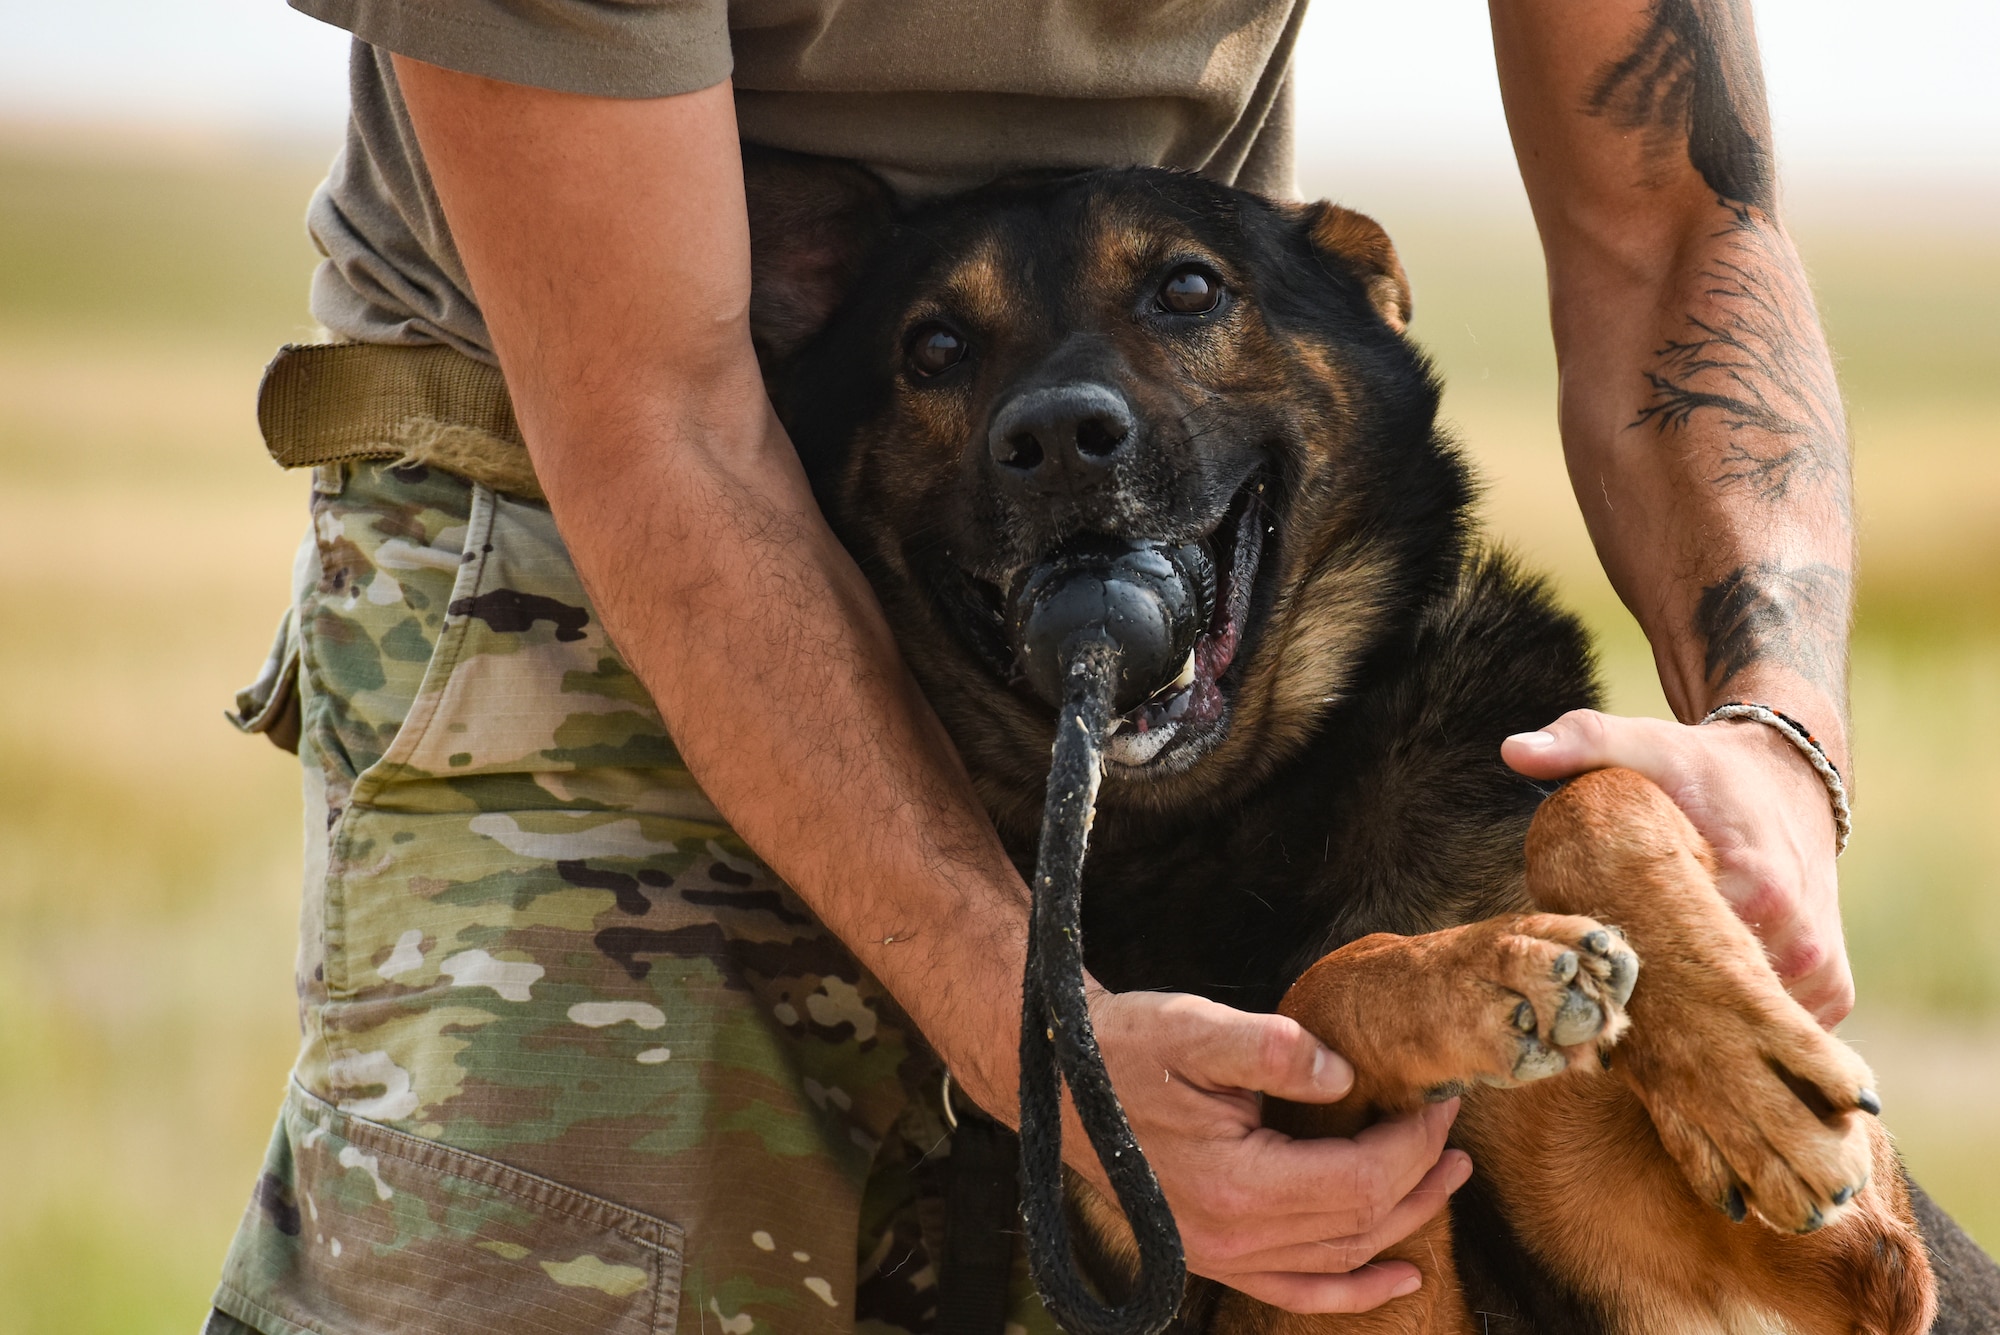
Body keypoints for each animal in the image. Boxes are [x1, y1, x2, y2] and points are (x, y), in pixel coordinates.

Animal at [740, 150, 2000, 1327]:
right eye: (934, 348)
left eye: (1186, 288)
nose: (1054, 435)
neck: (1239, 818)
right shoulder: (1319, 1261)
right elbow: (1319, 989)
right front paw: (1493, 978)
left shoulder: (1845, 1267)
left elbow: (1587, 795)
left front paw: (1742, 1069)